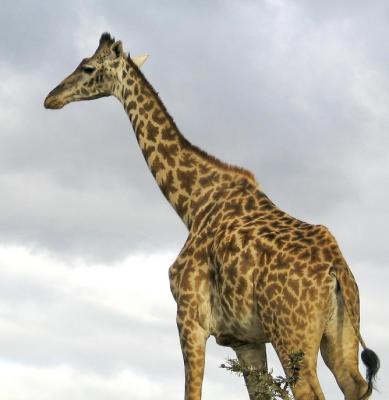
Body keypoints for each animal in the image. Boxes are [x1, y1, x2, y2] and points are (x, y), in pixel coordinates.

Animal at [43, 33, 378, 400]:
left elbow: (192, 392)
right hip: (340, 334)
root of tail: (336, 269)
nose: (51, 98)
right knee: (355, 385)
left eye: (88, 68)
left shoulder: (189, 318)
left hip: (291, 333)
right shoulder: (245, 340)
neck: (192, 204)